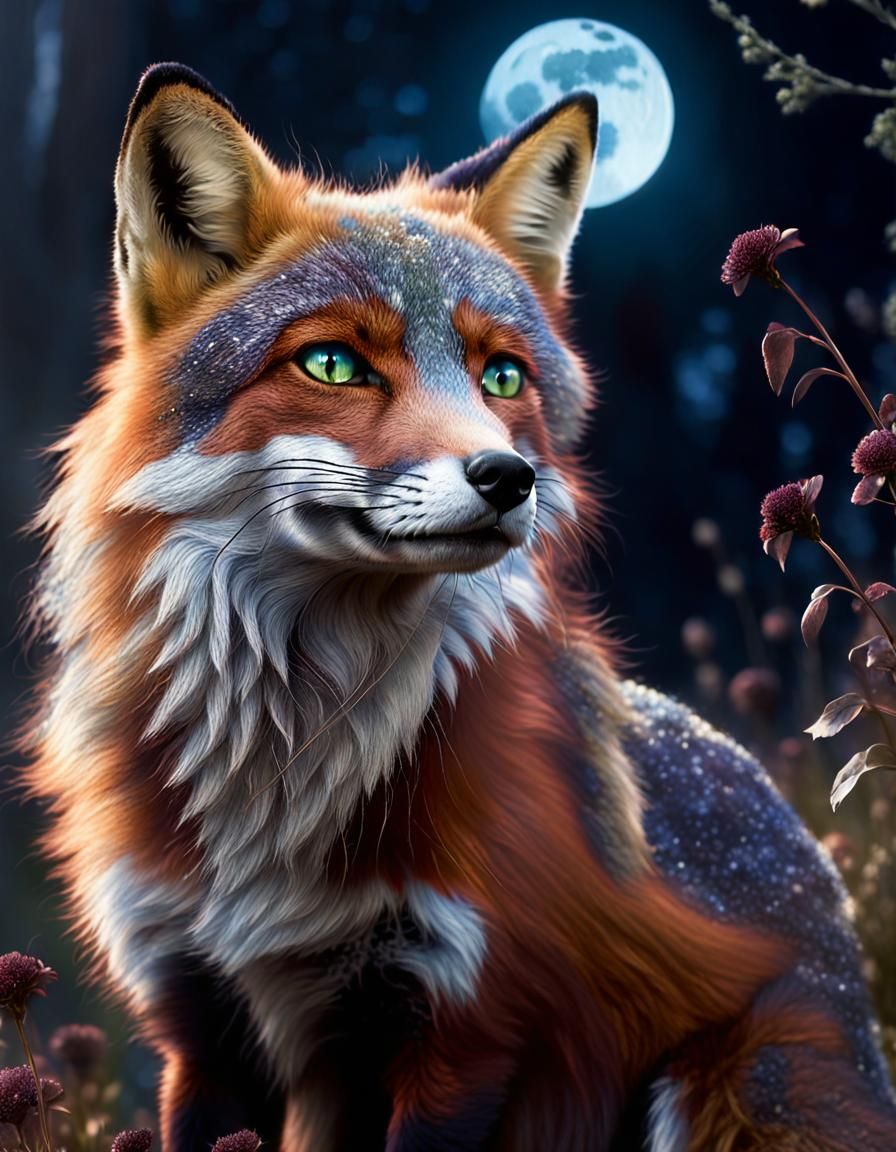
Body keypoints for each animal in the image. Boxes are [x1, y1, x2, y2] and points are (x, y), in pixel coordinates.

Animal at [20, 61, 896, 1151]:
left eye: (502, 375)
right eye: (333, 364)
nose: (506, 477)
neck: (291, 764)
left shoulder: (468, 1028)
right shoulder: (200, 1026)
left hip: (731, 1089)